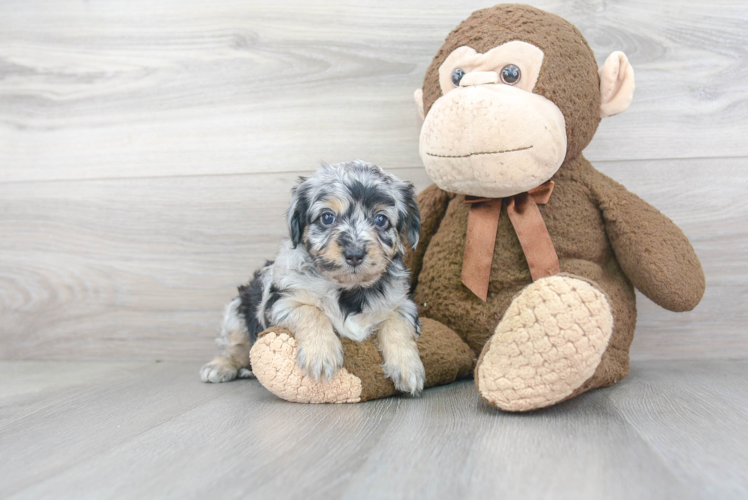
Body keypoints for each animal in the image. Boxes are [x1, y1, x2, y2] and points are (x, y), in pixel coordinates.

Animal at [200, 160, 426, 394]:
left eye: (381, 220)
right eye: (327, 217)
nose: (354, 254)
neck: (348, 290)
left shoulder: (401, 302)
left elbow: (397, 323)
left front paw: (408, 367)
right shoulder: (282, 300)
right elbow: (311, 311)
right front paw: (321, 355)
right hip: (235, 314)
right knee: (235, 348)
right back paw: (221, 366)